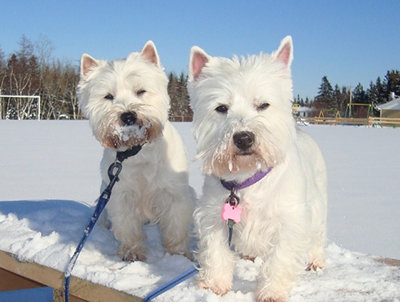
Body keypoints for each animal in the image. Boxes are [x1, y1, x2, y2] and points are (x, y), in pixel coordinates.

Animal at [77, 40, 194, 262]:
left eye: (141, 91)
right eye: (108, 96)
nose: (128, 115)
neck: (138, 150)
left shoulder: (174, 194)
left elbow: (175, 227)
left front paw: (178, 255)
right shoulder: (121, 195)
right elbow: (128, 227)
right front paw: (132, 253)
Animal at [189, 36, 326, 300]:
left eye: (263, 105)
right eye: (221, 108)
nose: (243, 138)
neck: (247, 177)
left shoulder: (289, 221)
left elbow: (279, 260)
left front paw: (272, 292)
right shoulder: (214, 217)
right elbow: (215, 253)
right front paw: (214, 286)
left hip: (317, 205)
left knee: (317, 235)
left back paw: (316, 260)